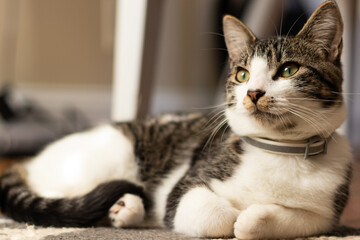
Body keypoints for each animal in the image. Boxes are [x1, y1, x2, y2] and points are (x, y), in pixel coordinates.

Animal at [0, 0, 352, 239]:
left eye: (288, 70)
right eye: (242, 74)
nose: (253, 93)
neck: (279, 150)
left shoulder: (326, 214)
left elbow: (290, 220)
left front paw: (253, 218)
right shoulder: (186, 187)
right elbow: (213, 215)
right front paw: (233, 216)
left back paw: (126, 210)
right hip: (107, 157)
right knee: (59, 196)